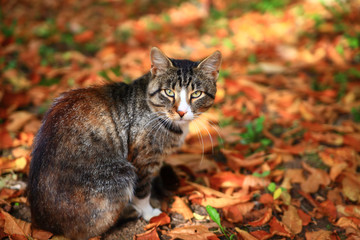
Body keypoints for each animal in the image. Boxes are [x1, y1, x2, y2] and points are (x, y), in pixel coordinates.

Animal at [28, 46, 221, 238]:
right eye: (169, 92)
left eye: (196, 94)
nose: (181, 112)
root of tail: (45, 224)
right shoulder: (142, 159)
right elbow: (142, 190)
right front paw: (149, 212)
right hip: (121, 173)